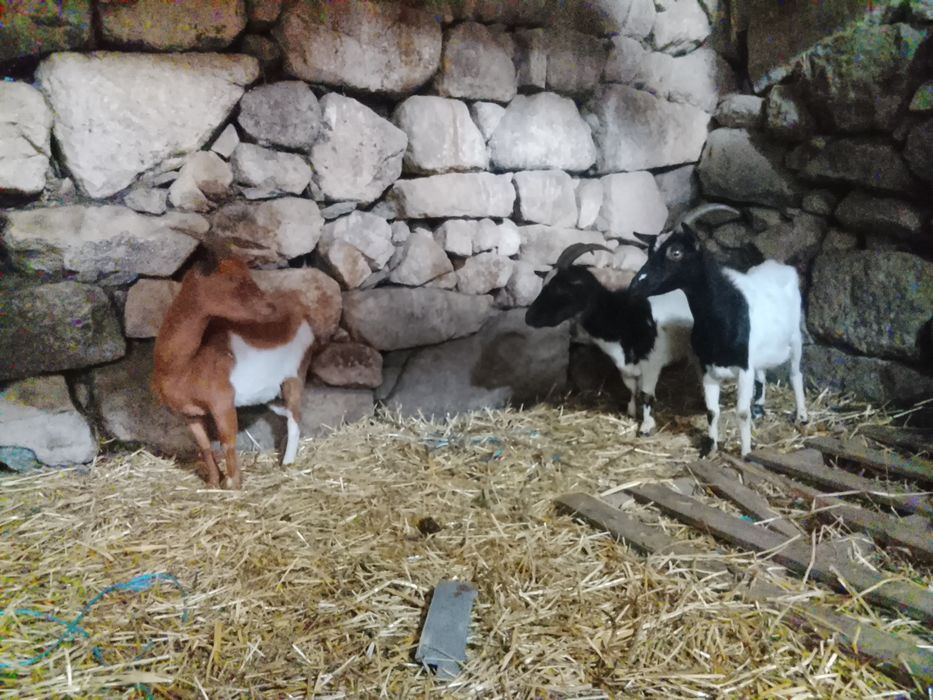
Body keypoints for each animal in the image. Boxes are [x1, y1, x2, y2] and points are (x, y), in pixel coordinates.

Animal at [152, 235, 316, 489]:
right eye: (232, 278)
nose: (269, 307)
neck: (185, 364)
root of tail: (301, 312)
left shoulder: (222, 403)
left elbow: (228, 443)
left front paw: (233, 485)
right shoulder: (190, 415)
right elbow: (205, 446)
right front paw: (212, 483)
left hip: (296, 375)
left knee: (295, 417)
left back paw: (288, 463)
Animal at [525, 242, 693, 436]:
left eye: (559, 288)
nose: (528, 317)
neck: (622, 316)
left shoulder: (652, 363)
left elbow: (646, 393)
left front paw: (646, 426)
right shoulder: (625, 364)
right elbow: (632, 388)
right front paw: (631, 412)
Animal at [629, 208, 808, 457]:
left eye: (676, 252)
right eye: (649, 251)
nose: (635, 286)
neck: (725, 315)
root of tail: (781, 266)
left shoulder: (743, 368)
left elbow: (741, 412)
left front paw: (745, 453)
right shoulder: (708, 367)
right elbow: (711, 411)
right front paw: (710, 447)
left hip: (795, 337)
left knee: (795, 374)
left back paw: (802, 416)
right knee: (762, 374)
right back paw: (760, 408)